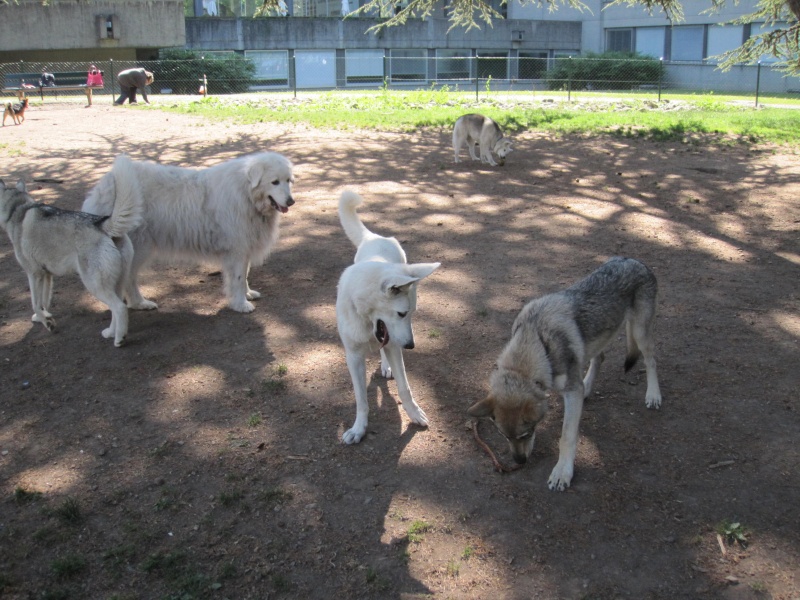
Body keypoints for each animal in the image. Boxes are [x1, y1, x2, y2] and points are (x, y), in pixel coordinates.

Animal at [0, 154, 142, 346]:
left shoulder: (34, 273)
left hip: (93, 284)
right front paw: (43, 317)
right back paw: (110, 333)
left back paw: (119, 339)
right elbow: (43, 301)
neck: (18, 208)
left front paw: (47, 322)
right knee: (117, 306)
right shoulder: (46, 275)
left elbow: (35, 303)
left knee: (119, 308)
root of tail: (102, 224)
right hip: (115, 282)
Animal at [83, 151, 296, 314]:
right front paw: (240, 304)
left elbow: (244, 276)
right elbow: (237, 279)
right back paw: (140, 303)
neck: (246, 193)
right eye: (274, 182)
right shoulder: (236, 250)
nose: (291, 201)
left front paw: (247, 294)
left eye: (288, 181)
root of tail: (107, 182)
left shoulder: (244, 249)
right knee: (129, 279)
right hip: (139, 249)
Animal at [334, 191, 440, 446]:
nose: (410, 345)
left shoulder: (393, 344)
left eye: (411, 313)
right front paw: (359, 429)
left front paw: (414, 413)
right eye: (401, 313)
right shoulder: (353, 356)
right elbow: (361, 399)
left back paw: (386, 365)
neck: (365, 316)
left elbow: (405, 388)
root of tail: (376, 237)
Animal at [468, 255, 664, 490]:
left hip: (640, 333)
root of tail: (634, 260)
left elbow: (566, 437)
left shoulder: (570, 392)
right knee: (599, 359)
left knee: (651, 361)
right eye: (503, 436)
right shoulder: (567, 389)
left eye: (526, 433)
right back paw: (587, 388)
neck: (537, 341)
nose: (519, 461)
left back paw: (653, 395)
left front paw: (562, 473)